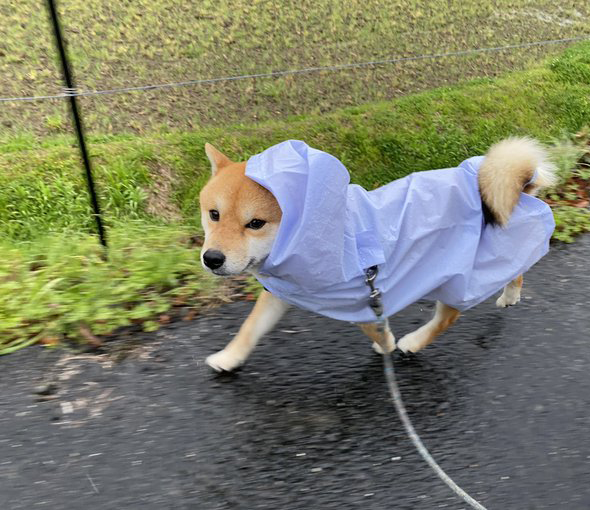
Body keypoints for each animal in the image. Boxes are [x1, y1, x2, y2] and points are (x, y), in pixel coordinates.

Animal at [201, 138, 556, 370]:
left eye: (255, 224)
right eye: (214, 214)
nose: (212, 258)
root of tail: (519, 190)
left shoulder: (357, 298)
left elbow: (373, 328)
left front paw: (385, 344)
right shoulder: (282, 292)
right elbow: (250, 328)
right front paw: (229, 357)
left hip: (455, 275)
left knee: (448, 317)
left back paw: (413, 342)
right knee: (515, 268)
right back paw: (510, 294)